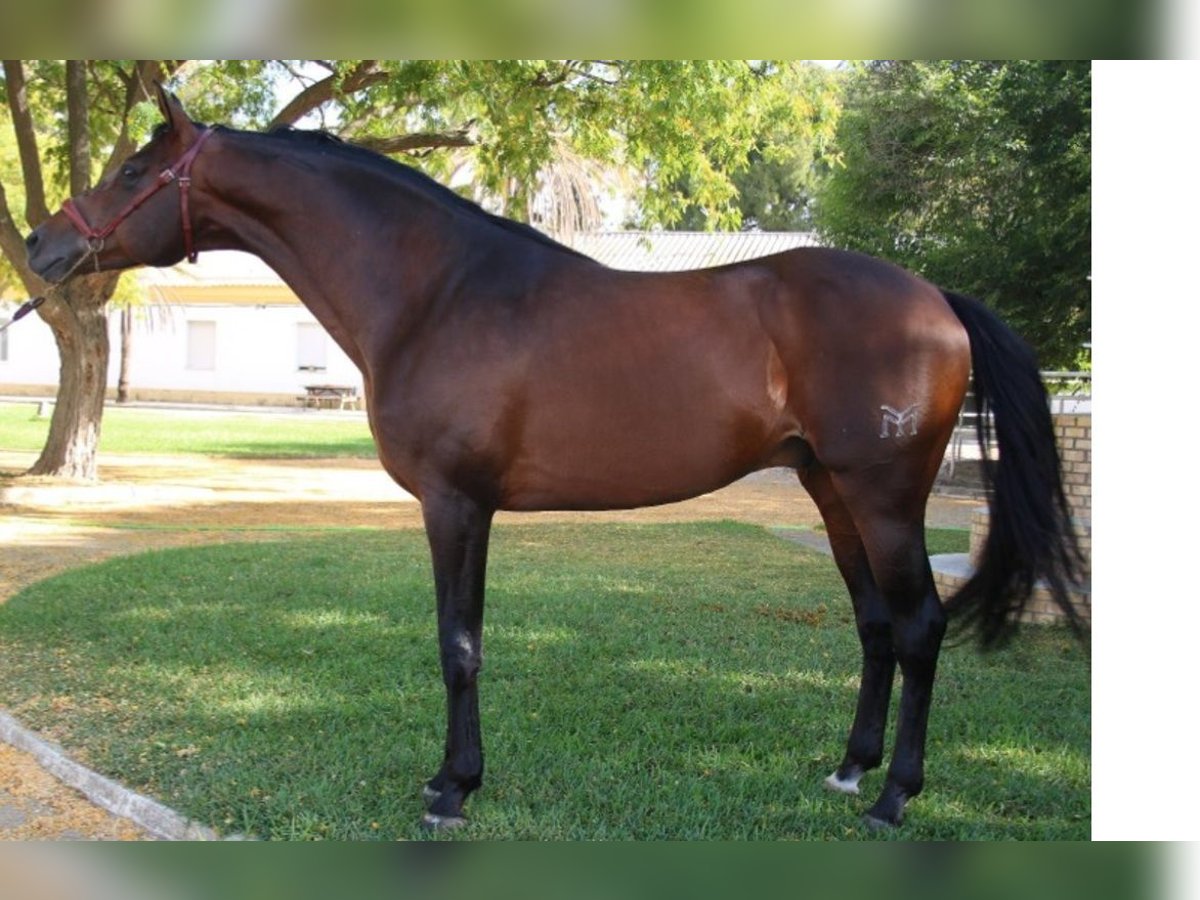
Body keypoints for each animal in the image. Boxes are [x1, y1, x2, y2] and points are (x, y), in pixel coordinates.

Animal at [23, 88, 1084, 835]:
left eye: (133, 169)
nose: (40, 245)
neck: (437, 290)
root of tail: (936, 299)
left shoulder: (456, 503)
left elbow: (458, 644)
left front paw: (453, 790)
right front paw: (454, 777)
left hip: (886, 497)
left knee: (919, 629)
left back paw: (894, 799)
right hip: (832, 493)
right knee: (874, 627)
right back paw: (848, 769)